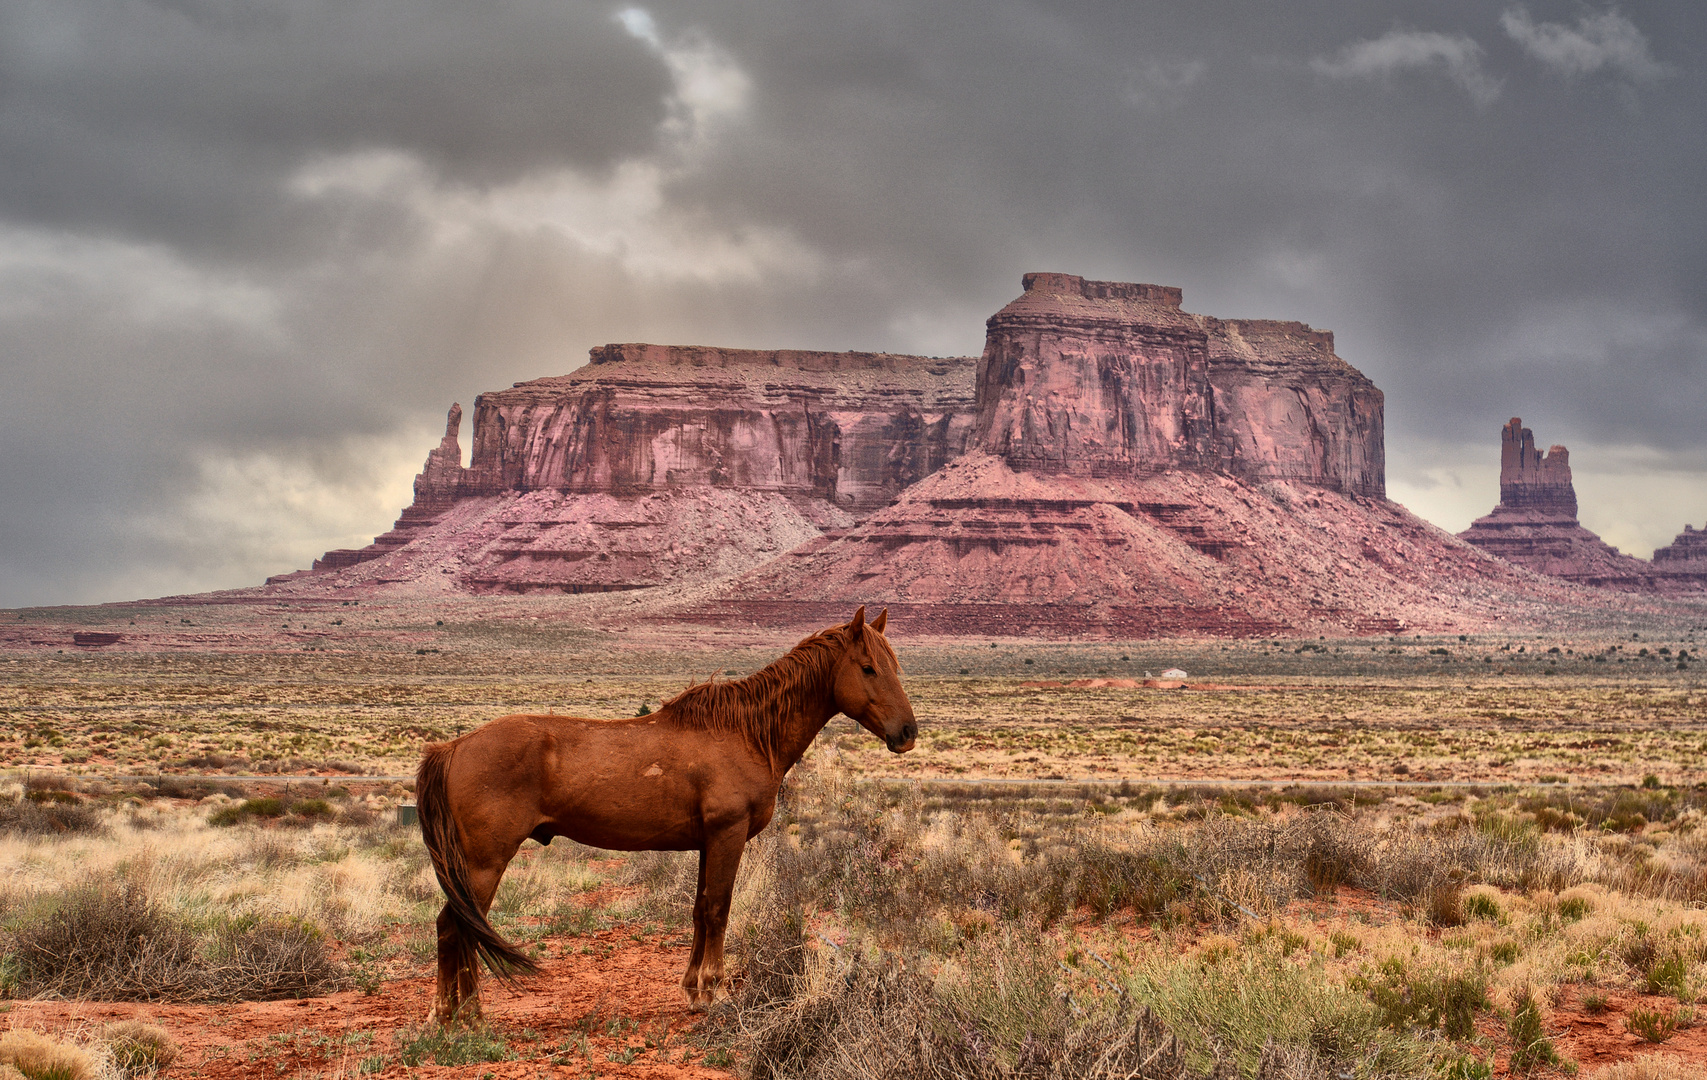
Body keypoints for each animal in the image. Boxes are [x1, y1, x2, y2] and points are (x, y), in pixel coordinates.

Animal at [413, 607, 914, 1016]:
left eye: (895, 667)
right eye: (868, 668)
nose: (907, 733)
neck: (747, 734)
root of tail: (452, 748)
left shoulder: (708, 842)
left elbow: (700, 910)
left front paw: (693, 989)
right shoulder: (727, 835)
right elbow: (719, 909)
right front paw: (713, 992)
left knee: (450, 927)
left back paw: (449, 1013)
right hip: (484, 864)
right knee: (459, 926)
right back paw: (468, 1014)